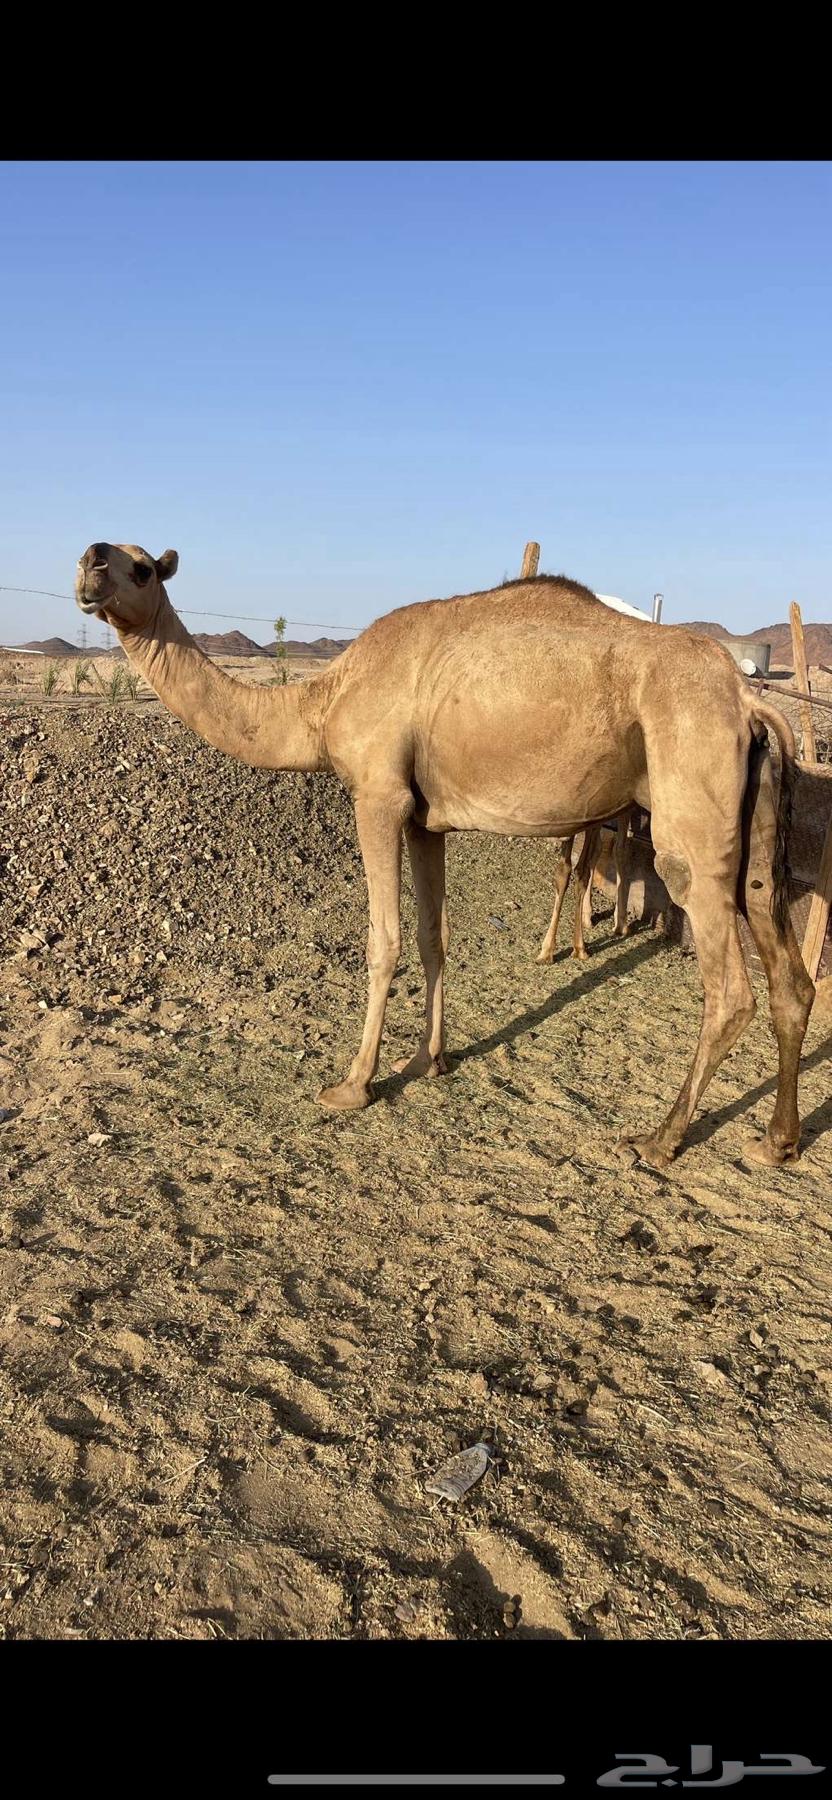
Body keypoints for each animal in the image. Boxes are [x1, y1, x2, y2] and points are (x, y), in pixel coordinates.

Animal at [75, 545, 815, 1171]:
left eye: (143, 567)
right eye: (106, 556)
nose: (89, 563)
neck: (323, 702)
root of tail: (747, 702)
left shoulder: (378, 795)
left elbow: (385, 940)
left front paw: (353, 1083)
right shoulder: (425, 819)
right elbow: (435, 936)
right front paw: (433, 1058)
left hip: (689, 794)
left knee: (728, 984)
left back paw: (659, 1139)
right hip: (749, 827)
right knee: (790, 976)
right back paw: (776, 1140)